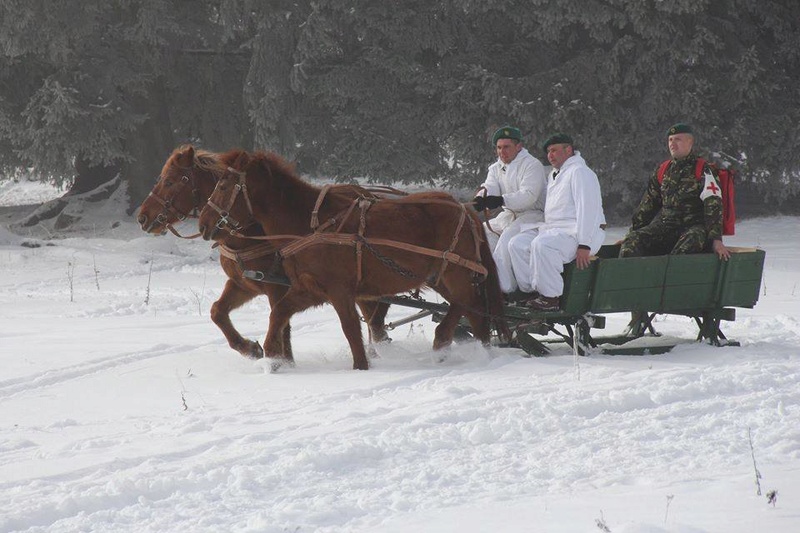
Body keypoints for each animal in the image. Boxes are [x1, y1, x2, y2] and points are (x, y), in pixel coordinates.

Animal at [135, 145, 390, 362]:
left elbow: (282, 326)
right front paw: (250, 349)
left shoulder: (276, 287)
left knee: (374, 321)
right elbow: (218, 311)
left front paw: (282, 361)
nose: (142, 217)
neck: (248, 233)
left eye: (169, 181)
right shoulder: (243, 283)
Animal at [197, 150, 506, 370]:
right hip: (440, 276)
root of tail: (467, 211)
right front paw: (271, 356)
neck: (308, 224)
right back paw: (483, 352)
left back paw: (444, 341)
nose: (203, 223)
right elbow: (279, 313)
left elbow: (350, 330)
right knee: (473, 311)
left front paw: (360, 367)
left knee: (466, 303)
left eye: (223, 185)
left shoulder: (339, 290)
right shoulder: (308, 288)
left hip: (454, 272)